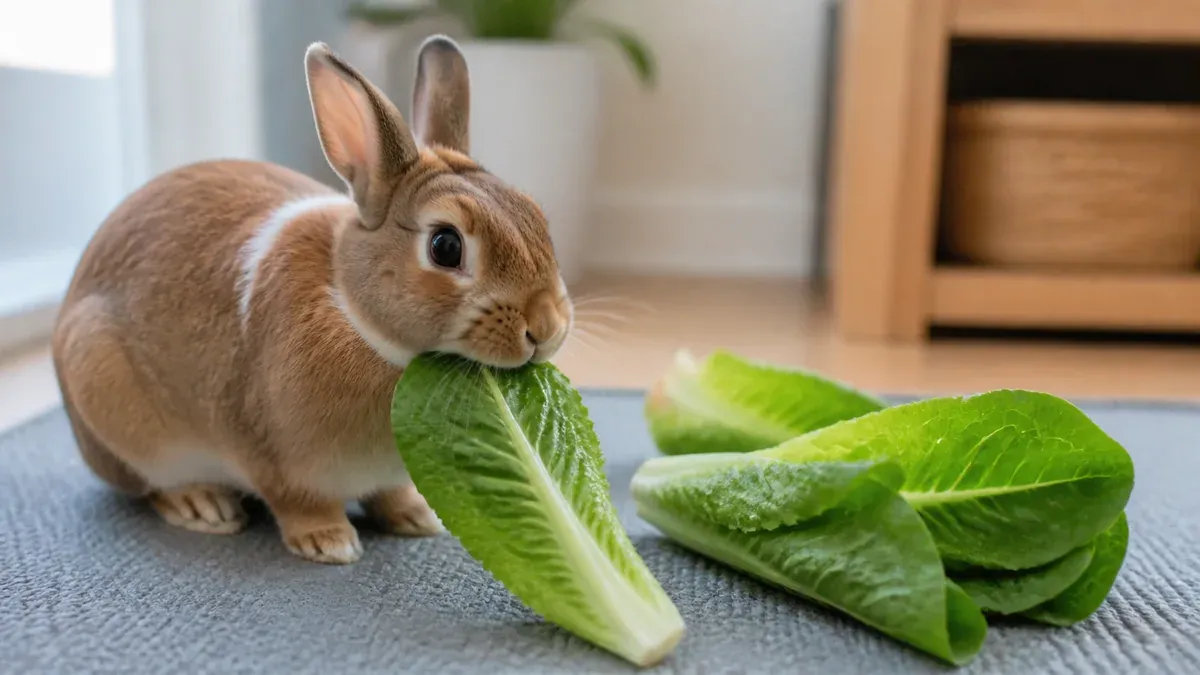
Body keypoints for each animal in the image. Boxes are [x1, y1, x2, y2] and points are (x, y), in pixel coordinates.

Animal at [50, 35, 574, 565]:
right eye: (445, 246)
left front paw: (416, 518)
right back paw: (203, 507)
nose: (546, 328)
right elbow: (298, 502)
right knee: (150, 486)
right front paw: (330, 543)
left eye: (535, 215)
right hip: (119, 410)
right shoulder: (274, 459)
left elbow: (390, 494)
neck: (353, 309)